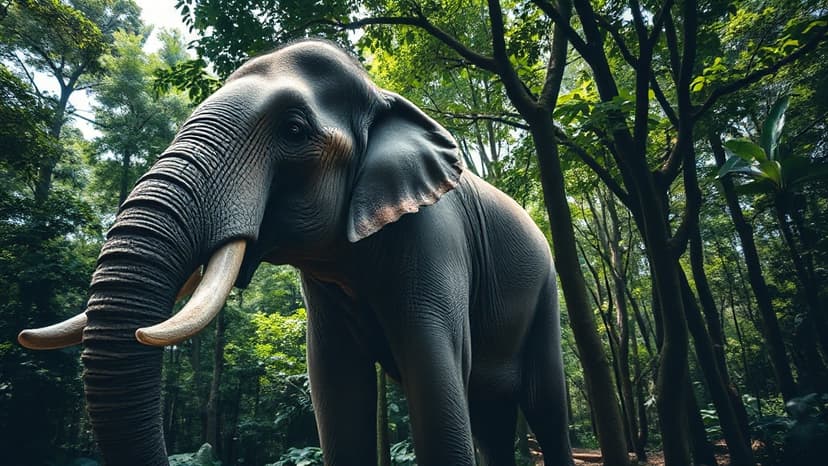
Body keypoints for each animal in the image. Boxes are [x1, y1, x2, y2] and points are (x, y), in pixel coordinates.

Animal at [19, 39, 574, 466]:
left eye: (293, 130)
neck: (380, 94)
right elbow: (336, 385)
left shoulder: (435, 237)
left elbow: (435, 375)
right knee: (489, 420)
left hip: (548, 289)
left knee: (545, 407)